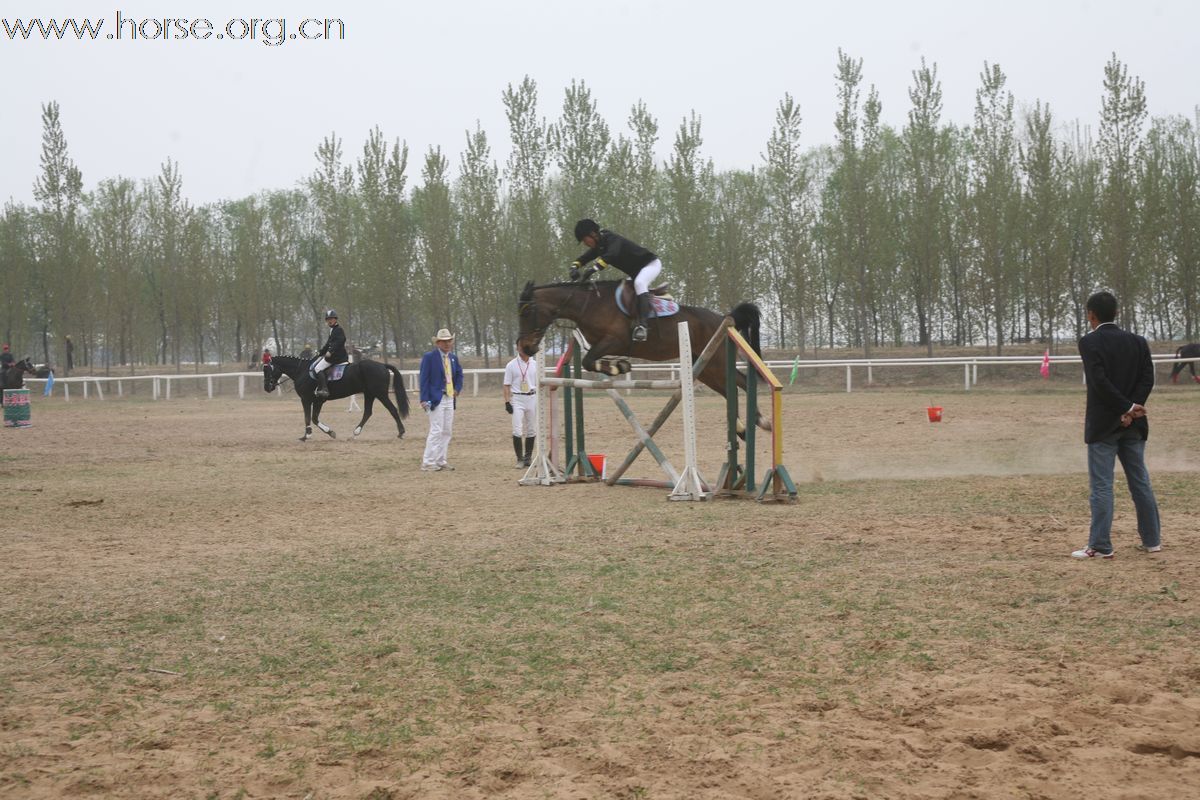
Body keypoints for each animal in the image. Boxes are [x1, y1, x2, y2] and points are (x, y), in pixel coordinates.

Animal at [262, 357, 412, 443]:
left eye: (267, 370)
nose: (266, 387)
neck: (302, 371)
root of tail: (382, 365)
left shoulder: (308, 399)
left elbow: (309, 418)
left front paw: (307, 436)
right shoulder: (317, 401)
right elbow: (314, 418)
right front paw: (329, 432)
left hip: (379, 394)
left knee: (392, 409)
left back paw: (401, 432)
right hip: (369, 394)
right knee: (368, 412)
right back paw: (355, 434)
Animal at [516, 281, 768, 431]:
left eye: (527, 312)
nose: (525, 348)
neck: (589, 305)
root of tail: (725, 319)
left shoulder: (614, 340)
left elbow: (589, 361)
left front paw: (618, 367)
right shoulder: (597, 343)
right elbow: (590, 360)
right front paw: (618, 365)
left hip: (716, 362)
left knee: (742, 382)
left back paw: (760, 421)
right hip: (706, 367)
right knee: (730, 388)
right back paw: (742, 428)